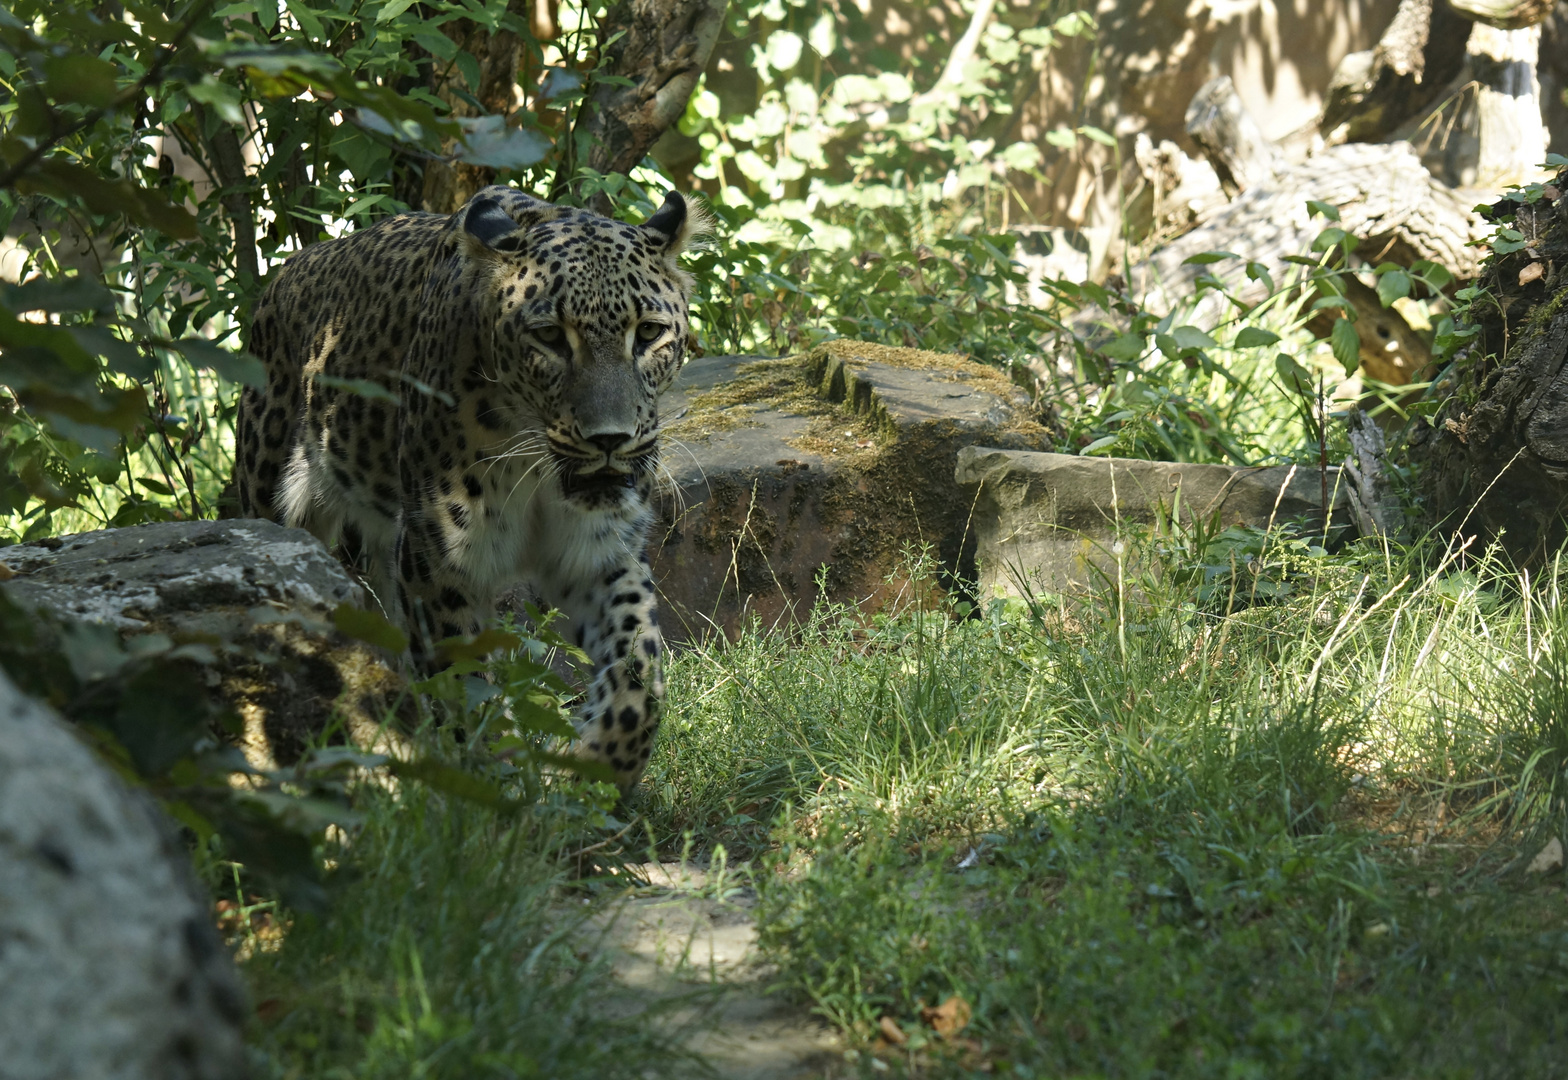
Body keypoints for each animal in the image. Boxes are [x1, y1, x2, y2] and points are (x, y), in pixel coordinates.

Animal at [230, 184, 705, 786]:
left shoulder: (599, 554)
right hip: (274, 497)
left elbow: (638, 677)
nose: (609, 439)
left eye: (648, 333)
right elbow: (467, 689)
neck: (536, 466)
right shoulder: (439, 565)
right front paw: (491, 785)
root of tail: (287, 271)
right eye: (550, 337)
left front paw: (594, 770)